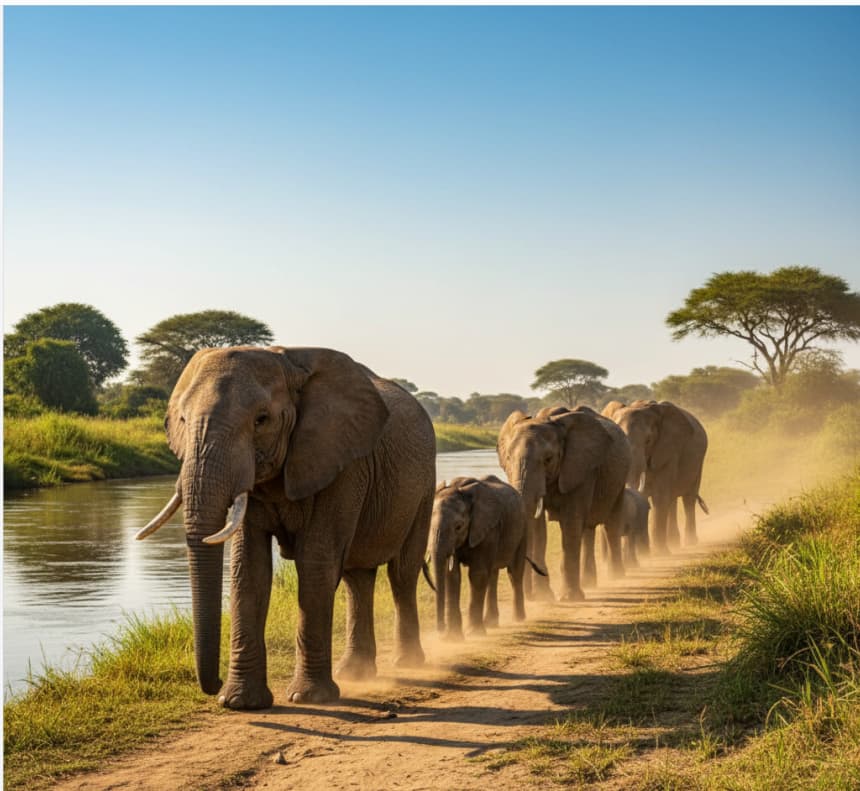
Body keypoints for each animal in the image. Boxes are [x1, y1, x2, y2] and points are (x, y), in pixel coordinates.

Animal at [136, 346, 436, 709]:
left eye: (261, 420)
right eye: (182, 420)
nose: (214, 681)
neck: (288, 361)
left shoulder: (343, 462)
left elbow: (315, 563)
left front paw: (309, 698)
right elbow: (249, 569)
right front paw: (239, 702)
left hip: (424, 486)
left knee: (401, 573)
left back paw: (408, 664)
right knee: (358, 578)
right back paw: (356, 673)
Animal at [428, 475, 532, 640]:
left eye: (458, 527)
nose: (441, 632)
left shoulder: (488, 529)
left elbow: (477, 574)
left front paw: (474, 633)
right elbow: (452, 576)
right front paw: (453, 638)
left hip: (523, 529)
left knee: (514, 573)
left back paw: (518, 619)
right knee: (493, 575)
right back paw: (491, 623)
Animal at [497, 405, 632, 601]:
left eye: (548, 459)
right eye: (507, 458)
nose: (529, 596)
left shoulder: (581, 469)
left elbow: (571, 522)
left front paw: (569, 598)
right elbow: (538, 529)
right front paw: (543, 597)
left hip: (620, 477)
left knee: (611, 524)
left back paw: (616, 577)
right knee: (587, 529)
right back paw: (590, 583)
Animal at [606, 401, 708, 554]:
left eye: (648, 440)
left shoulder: (668, 451)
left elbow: (659, 497)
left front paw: (660, 552)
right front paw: (643, 553)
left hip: (699, 461)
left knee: (688, 498)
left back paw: (690, 542)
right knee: (672, 500)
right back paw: (674, 543)